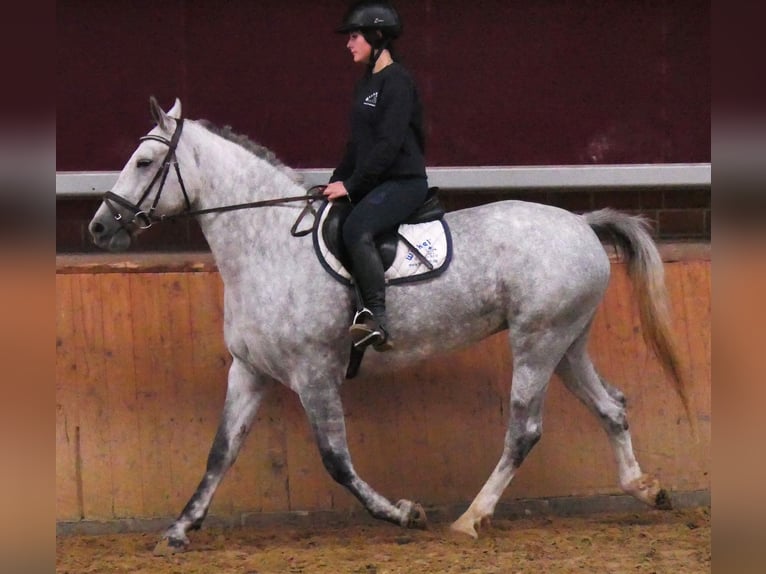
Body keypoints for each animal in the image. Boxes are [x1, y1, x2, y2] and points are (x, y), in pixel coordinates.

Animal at [88, 97, 693, 555]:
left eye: (145, 162)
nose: (99, 228)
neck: (266, 245)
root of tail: (581, 222)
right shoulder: (250, 371)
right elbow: (220, 453)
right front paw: (179, 529)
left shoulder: (313, 373)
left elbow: (336, 461)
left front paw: (404, 513)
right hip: (566, 342)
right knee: (612, 406)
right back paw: (645, 489)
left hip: (537, 342)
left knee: (524, 430)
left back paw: (471, 518)